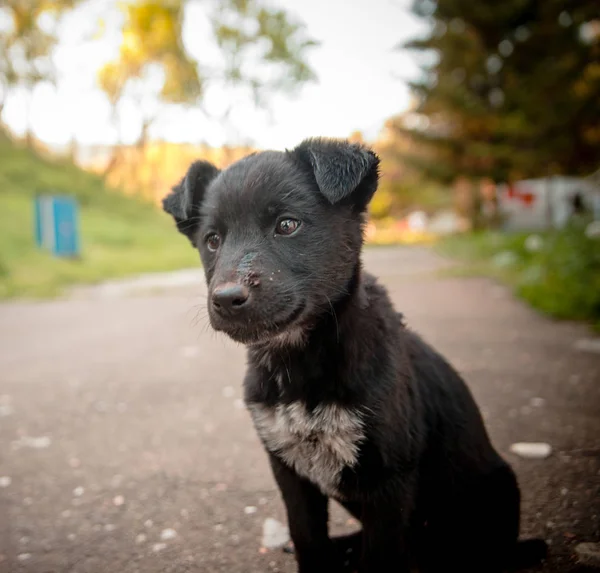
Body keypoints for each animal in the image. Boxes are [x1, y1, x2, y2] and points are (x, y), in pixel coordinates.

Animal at [162, 139, 548, 572]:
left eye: (287, 225)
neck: (301, 363)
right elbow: (307, 538)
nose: (227, 299)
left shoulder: (390, 480)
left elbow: (380, 556)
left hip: (492, 494)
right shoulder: (289, 470)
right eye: (212, 240)